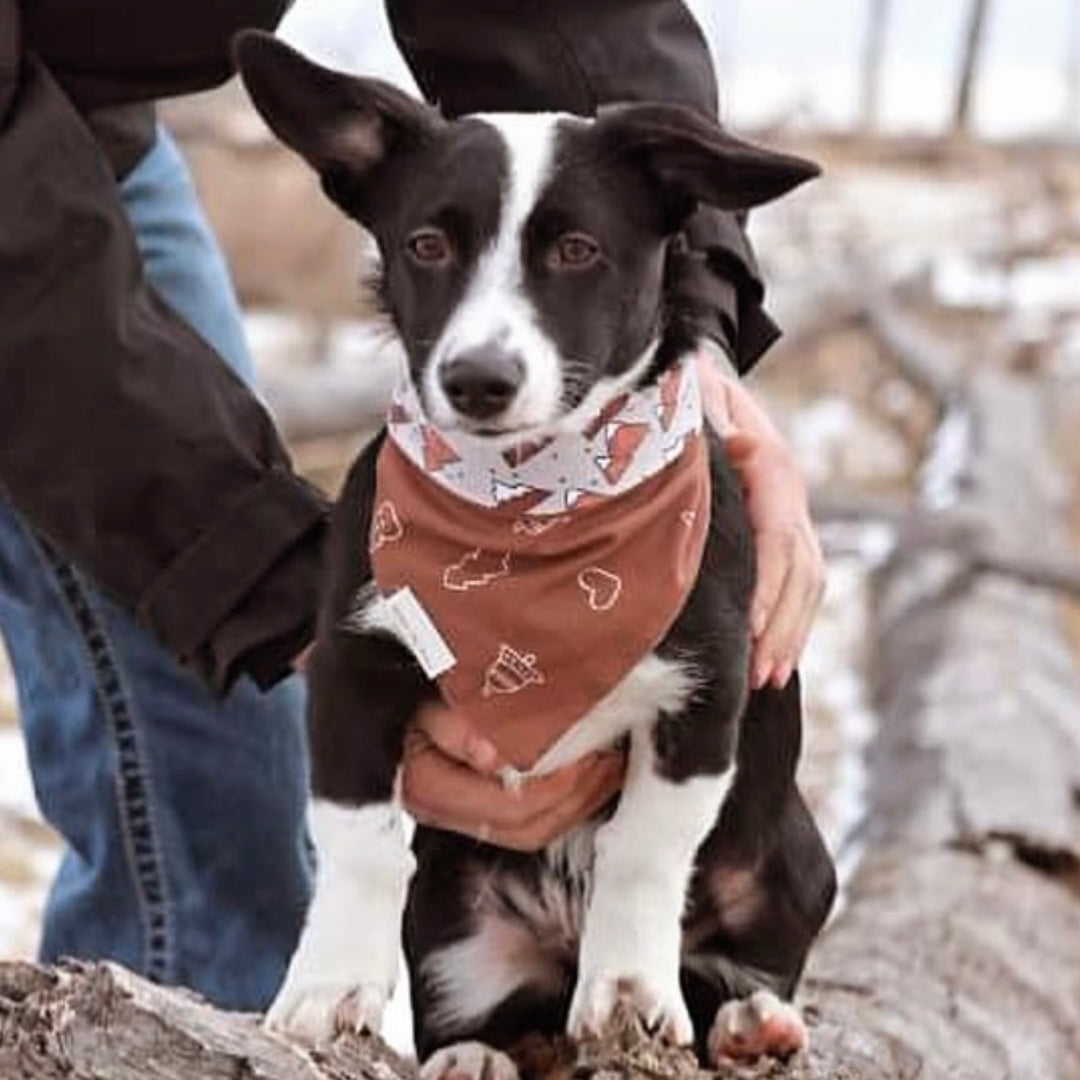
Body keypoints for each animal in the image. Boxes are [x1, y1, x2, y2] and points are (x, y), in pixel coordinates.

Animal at [236, 29, 838, 1075]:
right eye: (427, 245)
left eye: (577, 250)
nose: (478, 380)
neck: (532, 517)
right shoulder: (354, 665)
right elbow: (360, 840)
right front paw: (326, 985)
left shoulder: (706, 694)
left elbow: (644, 848)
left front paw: (629, 988)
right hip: (455, 925)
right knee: (499, 1018)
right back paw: (473, 1054)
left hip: (793, 865)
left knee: (733, 969)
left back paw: (751, 1024)